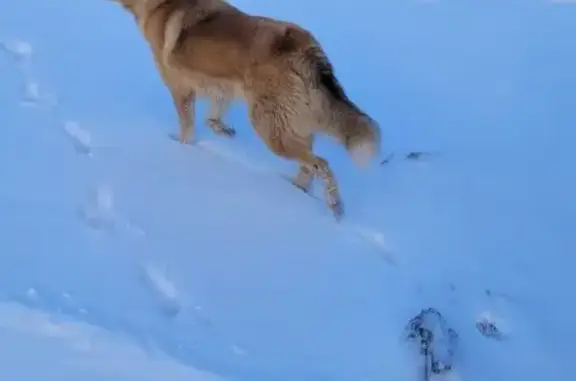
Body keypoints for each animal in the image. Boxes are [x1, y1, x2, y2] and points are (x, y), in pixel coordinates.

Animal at [109, 0, 380, 218]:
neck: (163, 3)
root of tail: (306, 50)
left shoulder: (181, 89)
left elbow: (187, 128)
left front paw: (183, 147)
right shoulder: (222, 85)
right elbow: (212, 117)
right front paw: (222, 131)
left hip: (270, 130)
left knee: (320, 164)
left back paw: (333, 205)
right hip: (293, 126)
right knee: (308, 165)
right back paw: (296, 192)